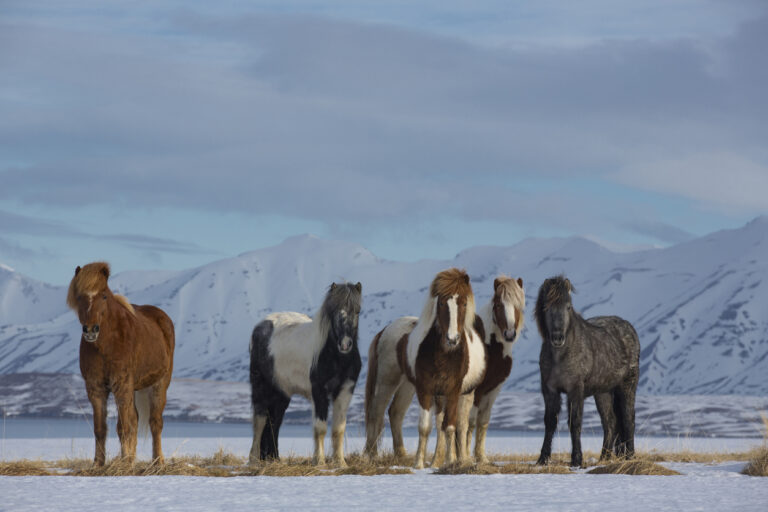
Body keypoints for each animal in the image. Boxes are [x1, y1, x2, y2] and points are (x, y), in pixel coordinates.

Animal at [66, 262, 176, 466]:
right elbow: (101, 428)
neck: (107, 344)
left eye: (104, 295)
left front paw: (124, 464)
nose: (91, 330)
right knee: (136, 419)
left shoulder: (121, 384)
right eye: (79, 296)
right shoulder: (95, 388)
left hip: (159, 384)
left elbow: (124, 426)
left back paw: (158, 461)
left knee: (155, 422)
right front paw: (99, 463)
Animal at [249, 282, 364, 466]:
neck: (335, 356)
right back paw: (253, 460)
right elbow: (320, 428)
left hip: (281, 393)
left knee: (274, 422)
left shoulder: (345, 390)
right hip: (260, 386)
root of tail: (261, 326)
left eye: (358, 310)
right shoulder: (319, 392)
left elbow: (338, 429)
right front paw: (320, 462)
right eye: (334, 311)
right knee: (259, 421)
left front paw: (340, 462)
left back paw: (274, 459)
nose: (345, 344)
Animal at [536, 276, 640, 468]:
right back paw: (604, 457)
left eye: (568, 306)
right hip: (603, 392)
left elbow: (575, 422)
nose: (557, 338)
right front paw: (542, 459)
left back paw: (630, 456)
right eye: (546, 307)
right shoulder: (549, 390)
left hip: (627, 386)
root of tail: (629, 329)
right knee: (611, 422)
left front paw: (576, 459)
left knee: (628, 420)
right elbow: (550, 422)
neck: (561, 356)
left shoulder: (575, 390)